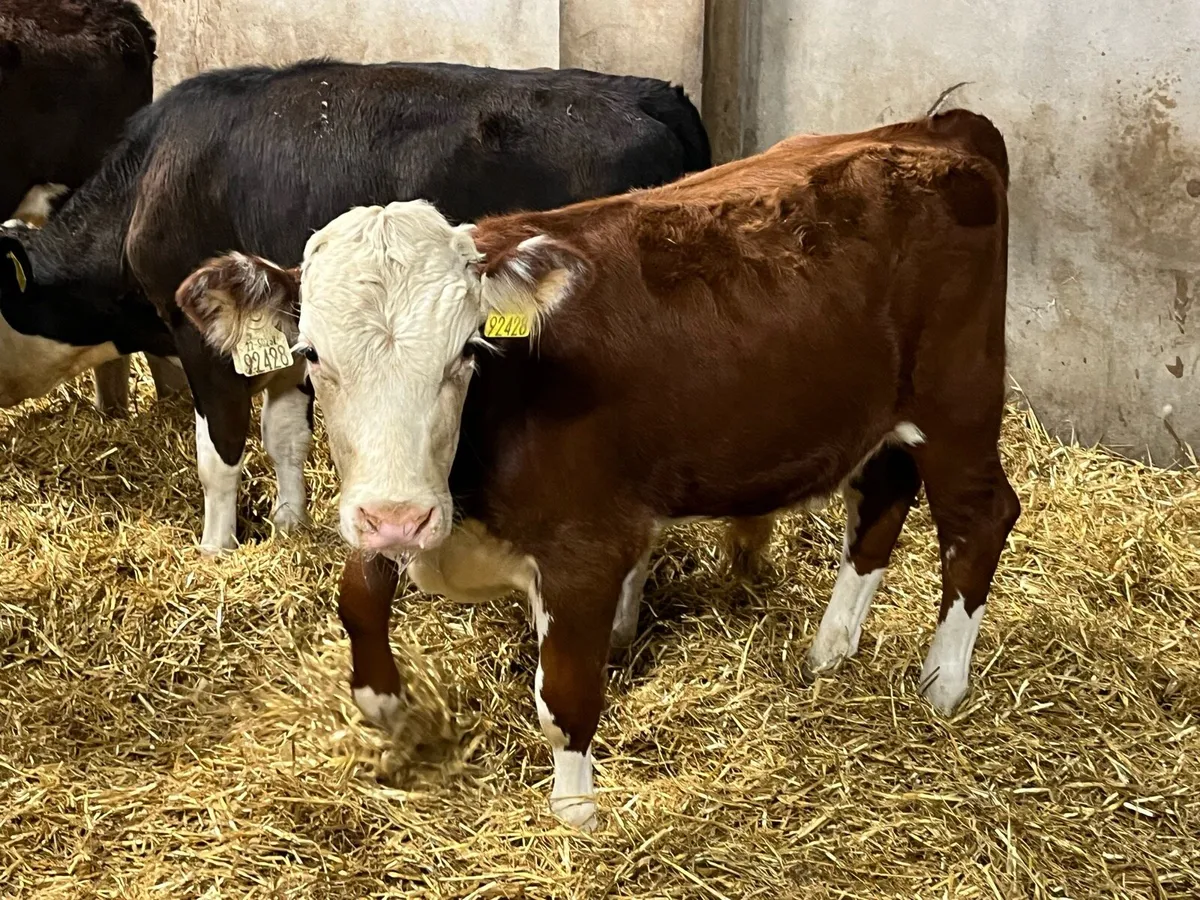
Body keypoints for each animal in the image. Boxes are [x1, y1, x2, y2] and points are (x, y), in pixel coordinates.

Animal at [0, 58, 713, 553]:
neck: (147, 183)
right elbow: (285, 435)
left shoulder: (200, 338)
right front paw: (289, 523)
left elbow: (220, 454)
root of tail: (651, 93)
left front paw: (216, 547)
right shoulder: (286, 327)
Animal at [173, 108, 1021, 830]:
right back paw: (831, 647)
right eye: (312, 355)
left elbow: (565, 696)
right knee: (882, 501)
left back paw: (943, 683)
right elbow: (357, 595)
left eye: (467, 351)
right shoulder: (397, 500)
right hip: (882, 420)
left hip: (959, 403)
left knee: (980, 519)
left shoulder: (585, 549)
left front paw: (574, 813)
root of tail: (941, 129)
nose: (398, 519)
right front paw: (384, 702)